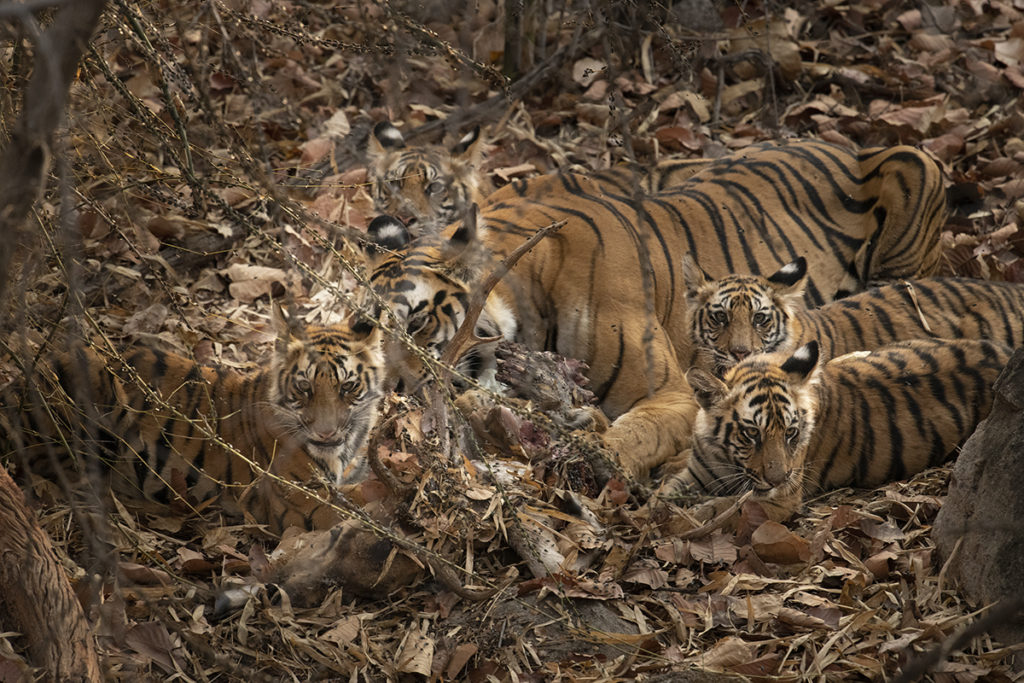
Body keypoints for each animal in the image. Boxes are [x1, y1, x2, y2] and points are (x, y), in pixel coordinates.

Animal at [362, 139, 942, 481]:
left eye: (417, 321)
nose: (384, 400)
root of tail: (844, 143)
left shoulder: (675, 392)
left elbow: (628, 438)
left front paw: (588, 457)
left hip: (916, 164)